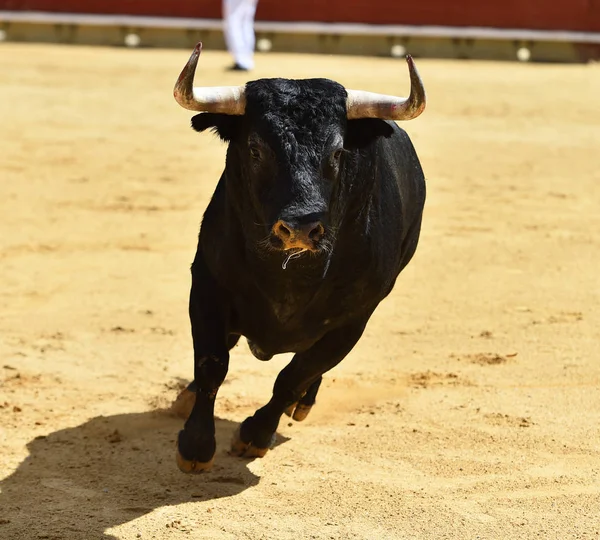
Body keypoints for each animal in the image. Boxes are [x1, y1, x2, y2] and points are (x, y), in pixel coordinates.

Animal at [173, 45, 426, 472]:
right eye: (255, 149)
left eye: (338, 151)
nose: (301, 227)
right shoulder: (208, 284)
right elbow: (212, 363)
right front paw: (195, 446)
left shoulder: (354, 319)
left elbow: (294, 376)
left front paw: (254, 436)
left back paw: (302, 405)